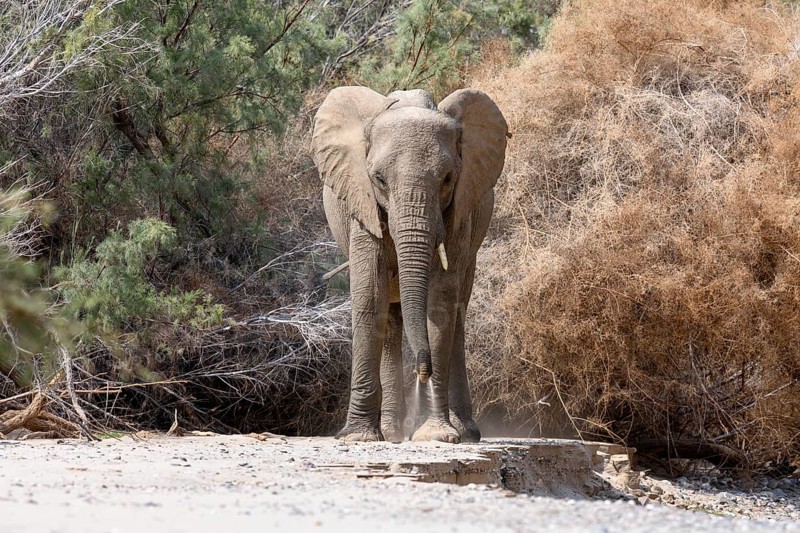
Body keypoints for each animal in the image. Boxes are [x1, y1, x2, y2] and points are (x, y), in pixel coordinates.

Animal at [311, 86, 508, 443]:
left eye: (447, 179)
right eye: (378, 180)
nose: (422, 371)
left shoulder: (459, 214)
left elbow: (439, 303)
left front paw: (436, 435)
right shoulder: (362, 208)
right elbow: (370, 296)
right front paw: (358, 437)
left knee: (458, 314)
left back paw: (464, 431)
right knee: (391, 319)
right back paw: (392, 432)